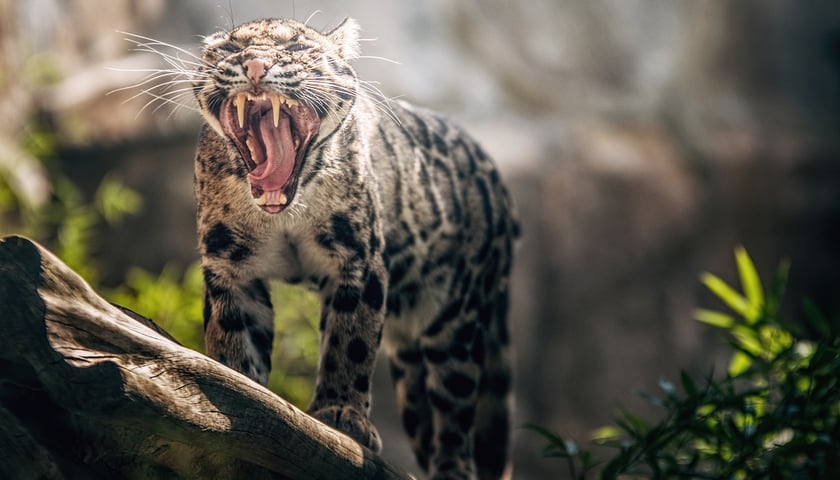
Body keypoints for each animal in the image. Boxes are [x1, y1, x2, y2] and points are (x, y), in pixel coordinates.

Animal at [191, 16, 520, 478]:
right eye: (229, 49)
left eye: (296, 47)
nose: (254, 65)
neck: (287, 211)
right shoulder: (229, 266)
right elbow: (233, 335)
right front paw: (240, 387)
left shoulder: (359, 262)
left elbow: (350, 342)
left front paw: (342, 414)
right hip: (410, 361)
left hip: (456, 323)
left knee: (455, 412)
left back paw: (453, 468)